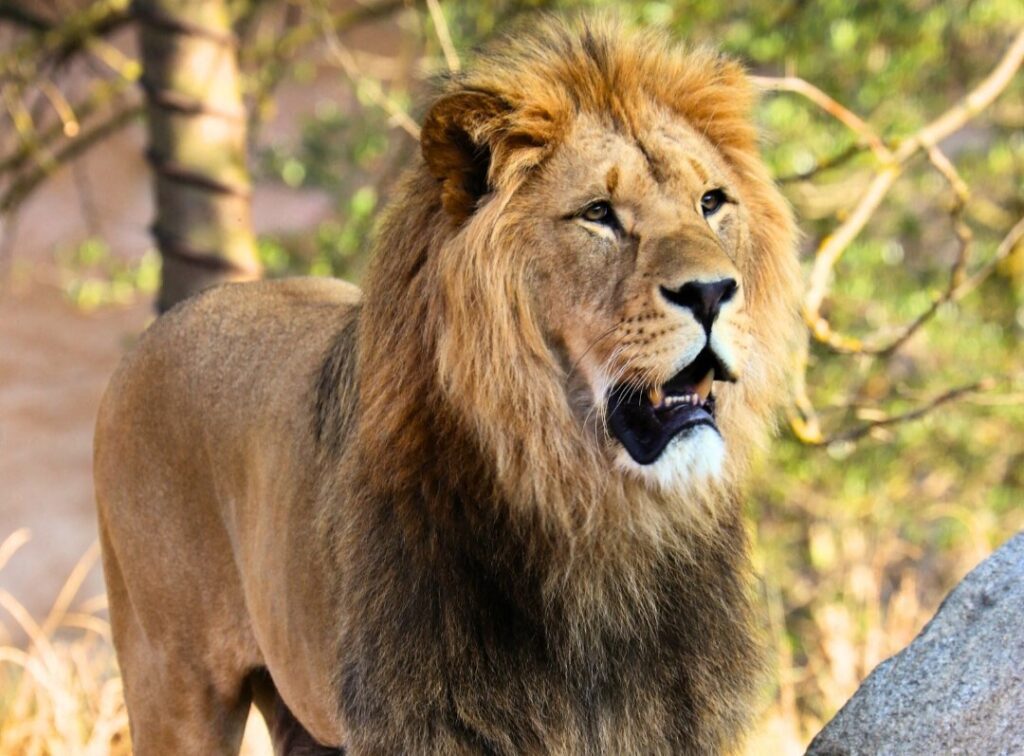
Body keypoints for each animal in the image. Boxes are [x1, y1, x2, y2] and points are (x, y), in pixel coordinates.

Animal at [94, 17, 800, 755]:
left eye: (711, 202)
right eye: (599, 213)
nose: (713, 292)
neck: (597, 516)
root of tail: (164, 326)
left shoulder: (677, 718)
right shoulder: (429, 718)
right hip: (172, 680)